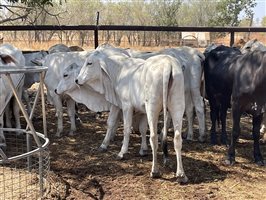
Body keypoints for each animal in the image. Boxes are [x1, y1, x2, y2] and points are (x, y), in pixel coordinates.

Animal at [75, 48, 187, 183]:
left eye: (89, 63)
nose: (77, 80)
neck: (120, 71)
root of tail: (167, 63)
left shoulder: (126, 105)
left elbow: (126, 128)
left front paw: (122, 152)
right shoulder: (128, 107)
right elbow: (134, 127)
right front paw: (142, 149)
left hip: (152, 108)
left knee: (154, 137)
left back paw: (154, 171)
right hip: (177, 106)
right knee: (177, 138)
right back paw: (181, 174)